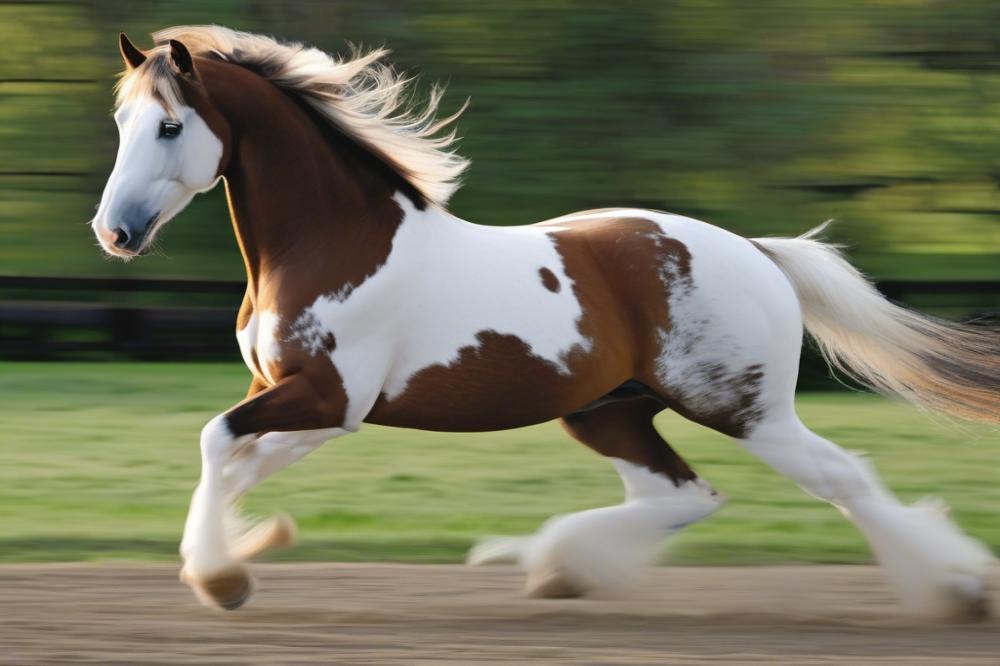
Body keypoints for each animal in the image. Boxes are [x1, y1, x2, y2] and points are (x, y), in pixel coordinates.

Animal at [94, 28, 1000, 616]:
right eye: (121, 124)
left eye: (170, 125)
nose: (116, 232)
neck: (333, 240)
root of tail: (757, 251)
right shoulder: (306, 404)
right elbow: (234, 463)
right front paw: (240, 553)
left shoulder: (328, 398)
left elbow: (215, 440)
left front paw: (224, 578)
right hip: (608, 412)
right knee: (683, 494)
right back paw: (559, 567)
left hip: (744, 409)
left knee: (841, 478)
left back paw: (958, 589)